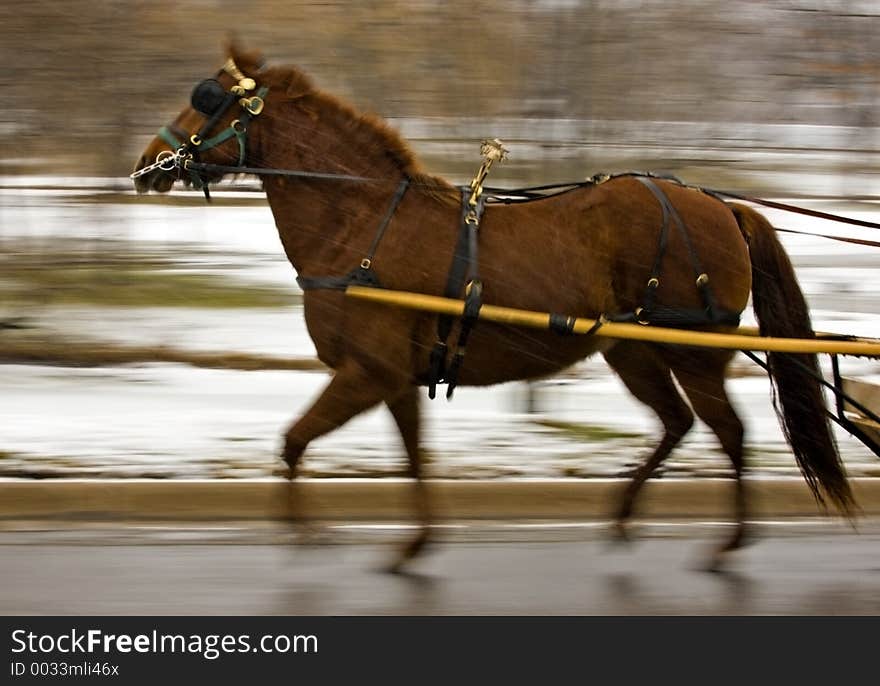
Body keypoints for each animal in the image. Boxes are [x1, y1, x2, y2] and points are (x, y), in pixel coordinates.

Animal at [134, 41, 856, 568]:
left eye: (206, 99)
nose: (148, 163)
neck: (362, 222)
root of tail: (722, 207)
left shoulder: (368, 371)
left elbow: (292, 441)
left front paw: (308, 534)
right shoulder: (394, 377)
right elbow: (411, 455)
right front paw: (416, 543)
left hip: (694, 353)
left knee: (729, 432)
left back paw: (730, 541)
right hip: (631, 349)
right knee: (677, 424)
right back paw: (623, 514)